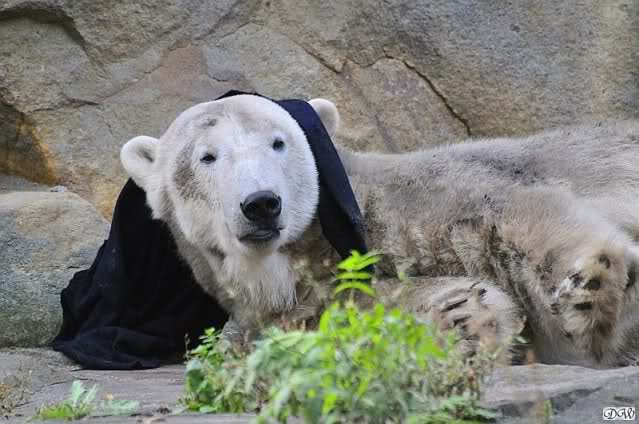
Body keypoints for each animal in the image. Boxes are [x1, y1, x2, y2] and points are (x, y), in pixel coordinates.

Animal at [121, 93, 639, 368]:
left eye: (279, 143)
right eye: (207, 156)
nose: (262, 204)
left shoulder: (419, 194)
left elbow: (508, 212)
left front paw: (593, 287)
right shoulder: (304, 305)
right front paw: (463, 317)